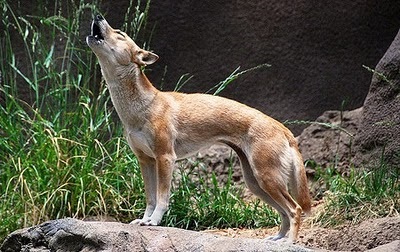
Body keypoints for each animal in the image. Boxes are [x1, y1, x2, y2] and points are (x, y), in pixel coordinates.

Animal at [86, 14, 312, 242]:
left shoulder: (165, 158)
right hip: (256, 183)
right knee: (284, 212)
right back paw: (277, 239)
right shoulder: (146, 160)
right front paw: (144, 220)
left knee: (295, 209)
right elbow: (150, 199)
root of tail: (283, 129)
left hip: (266, 178)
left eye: (120, 33)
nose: (97, 15)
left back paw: (289, 243)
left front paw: (154, 222)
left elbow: (162, 198)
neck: (143, 107)